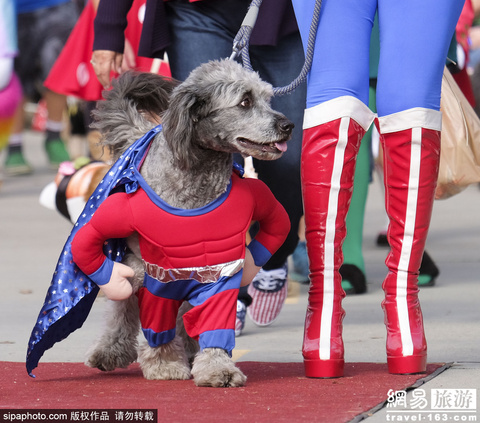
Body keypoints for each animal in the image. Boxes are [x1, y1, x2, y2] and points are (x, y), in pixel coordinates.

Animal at [85, 58, 294, 388]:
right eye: (245, 101)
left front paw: (217, 367)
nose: (287, 126)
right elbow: (155, 325)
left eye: (267, 98)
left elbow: (212, 320)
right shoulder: (157, 275)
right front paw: (165, 365)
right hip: (133, 266)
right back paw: (111, 350)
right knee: (123, 308)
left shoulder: (218, 272)